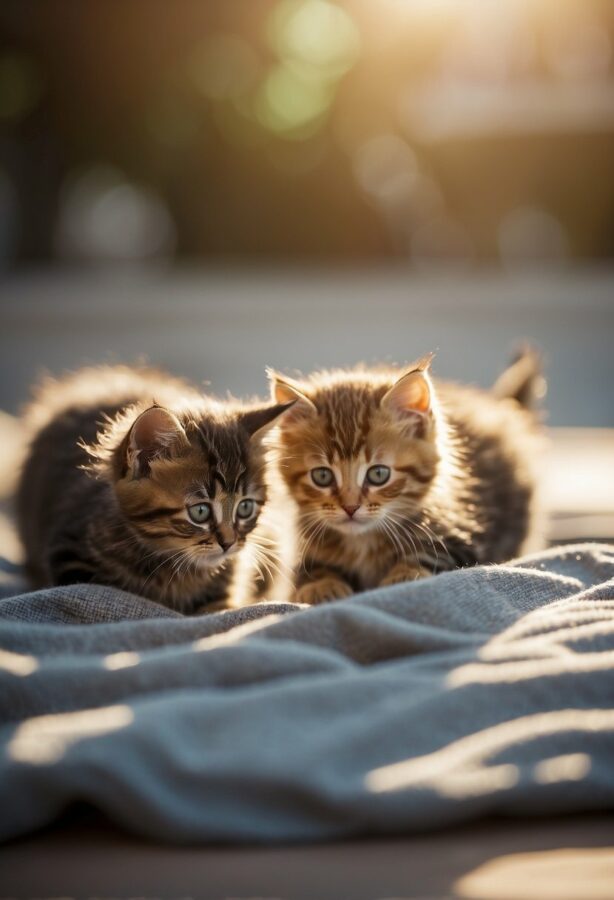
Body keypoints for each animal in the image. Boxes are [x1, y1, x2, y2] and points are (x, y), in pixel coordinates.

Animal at [268, 352, 548, 604]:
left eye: (378, 474)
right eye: (322, 476)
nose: (350, 508)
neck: (362, 542)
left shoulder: (463, 535)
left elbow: (431, 556)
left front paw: (405, 575)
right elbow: (307, 570)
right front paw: (321, 585)